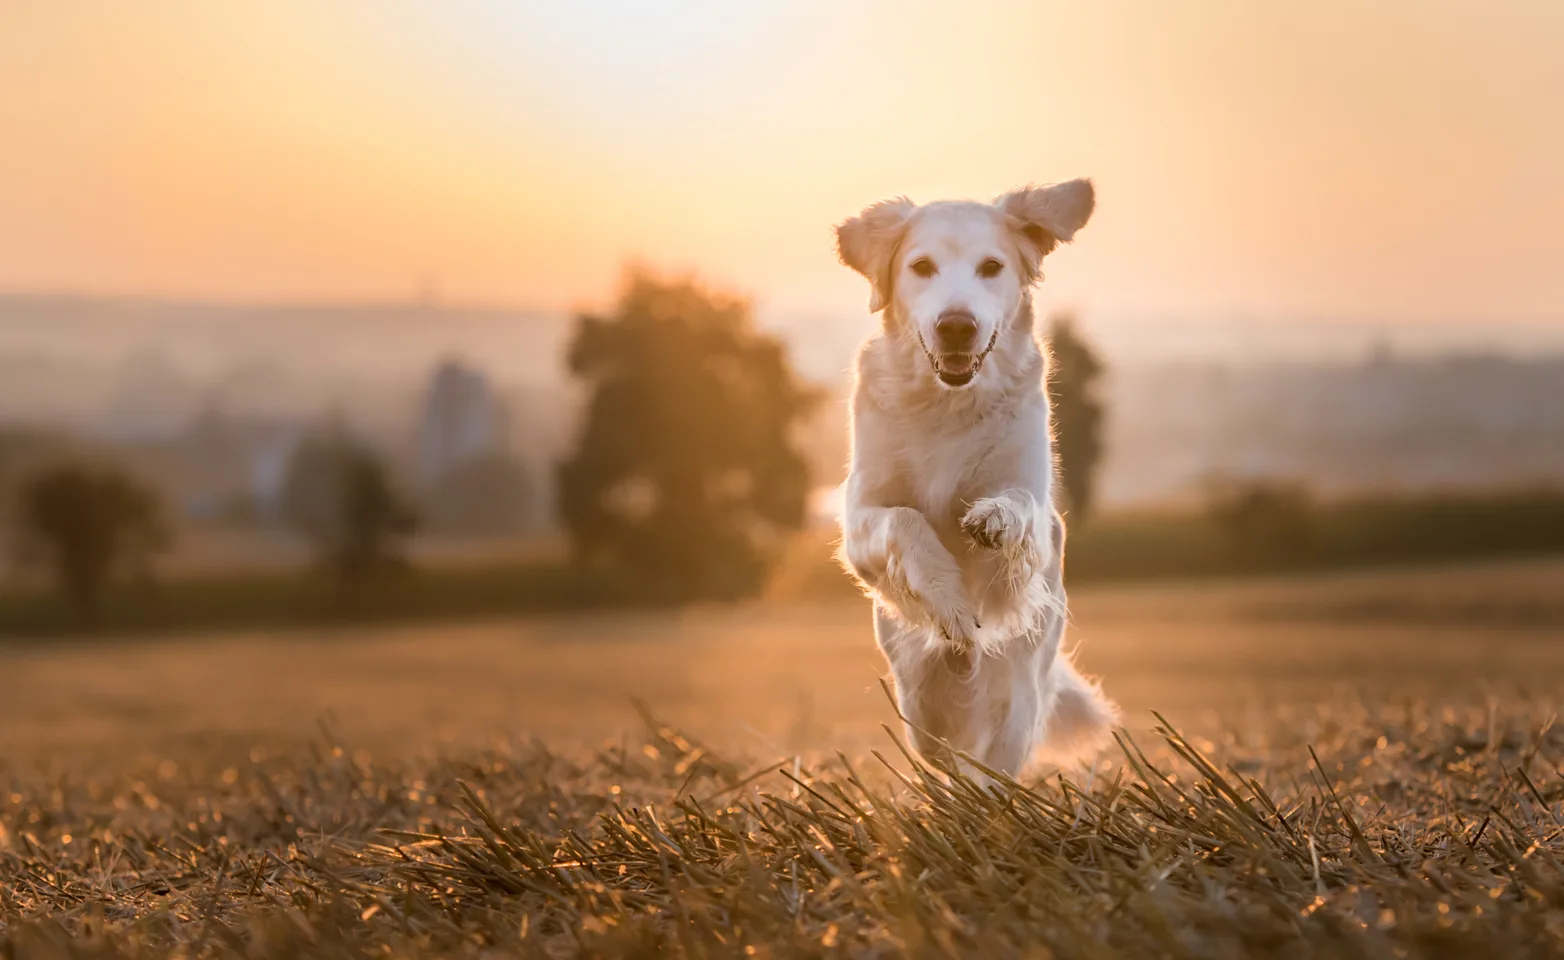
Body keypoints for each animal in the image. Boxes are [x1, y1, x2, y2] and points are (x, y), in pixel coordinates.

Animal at [838, 180, 1119, 781]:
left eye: (992, 267)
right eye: (921, 266)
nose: (956, 325)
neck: (947, 404)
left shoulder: (1034, 505)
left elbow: (1018, 507)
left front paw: (994, 519)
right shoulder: (859, 517)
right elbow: (905, 521)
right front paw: (948, 599)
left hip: (1020, 691)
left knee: (994, 764)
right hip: (918, 701)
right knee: (945, 755)